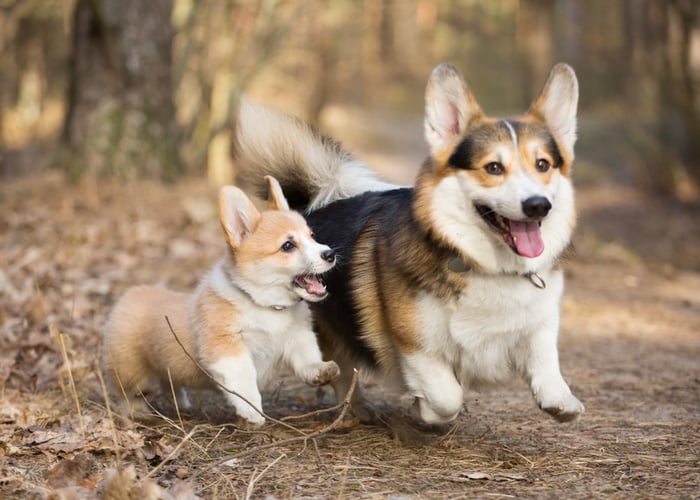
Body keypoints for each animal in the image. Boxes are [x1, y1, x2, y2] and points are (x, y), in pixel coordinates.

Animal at [102, 176, 340, 426]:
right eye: (287, 246)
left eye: (312, 236)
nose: (330, 253)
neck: (265, 304)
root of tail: (130, 294)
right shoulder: (226, 348)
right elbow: (245, 380)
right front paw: (253, 411)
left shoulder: (297, 337)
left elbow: (307, 359)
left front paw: (321, 370)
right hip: (129, 371)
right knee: (128, 393)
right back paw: (137, 412)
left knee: (169, 381)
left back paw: (179, 403)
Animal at [234, 63, 584, 426]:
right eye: (493, 167)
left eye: (543, 165)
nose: (538, 205)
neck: (488, 265)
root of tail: (312, 207)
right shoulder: (415, 345)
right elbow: (446, 396)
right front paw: (425, 411)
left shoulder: (541, 321)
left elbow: (545, 357)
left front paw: (559, 400)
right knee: (341, 367)